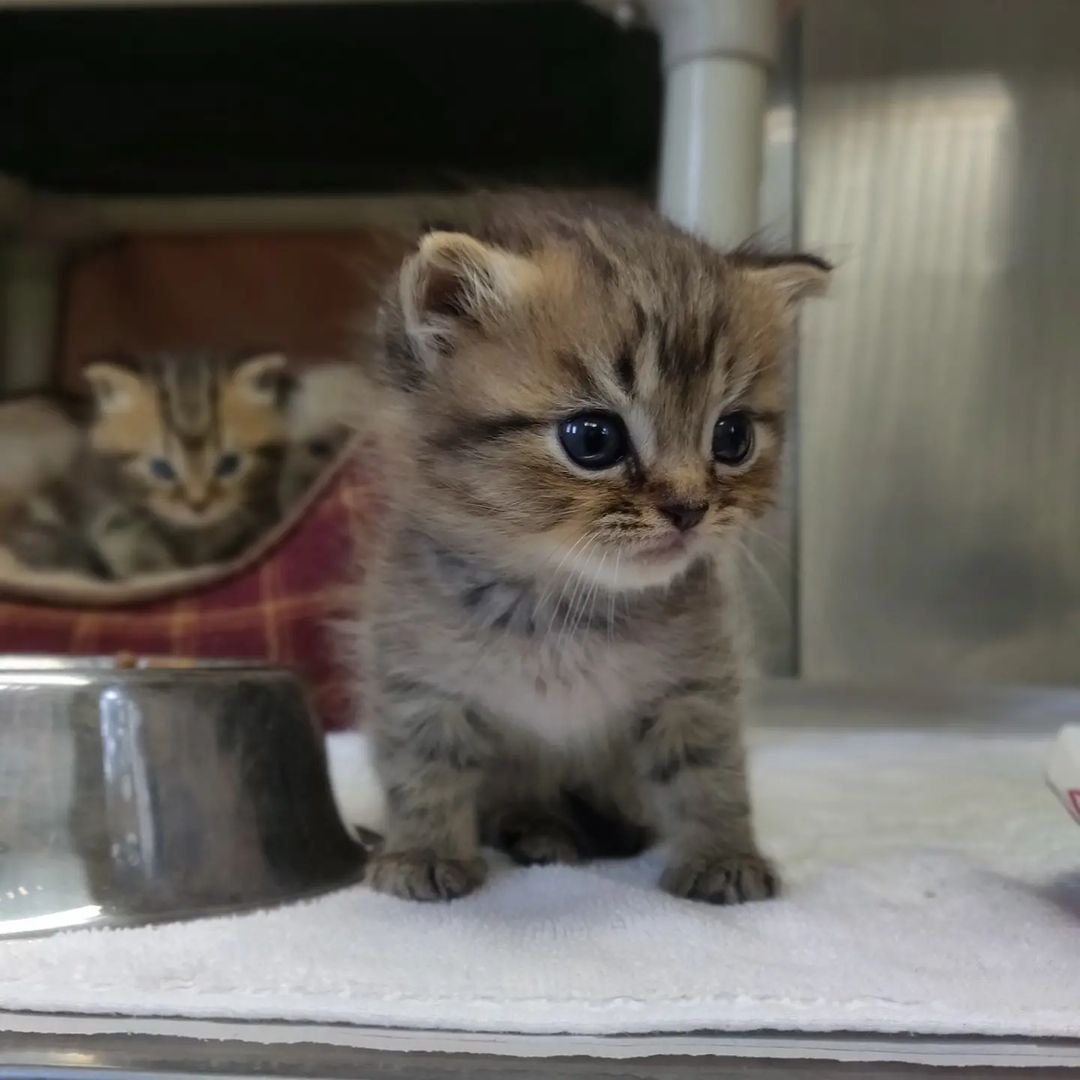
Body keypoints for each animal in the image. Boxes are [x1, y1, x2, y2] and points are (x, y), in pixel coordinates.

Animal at [352, 200, 825, 902]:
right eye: (592, 438)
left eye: (733, 436)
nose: (689, 508)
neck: (562, 610)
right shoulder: (416, 680)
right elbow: (424, 769)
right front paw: (423, 852)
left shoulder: (697, 684)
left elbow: (709, 774)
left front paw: (721, 856)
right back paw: (538, 830)